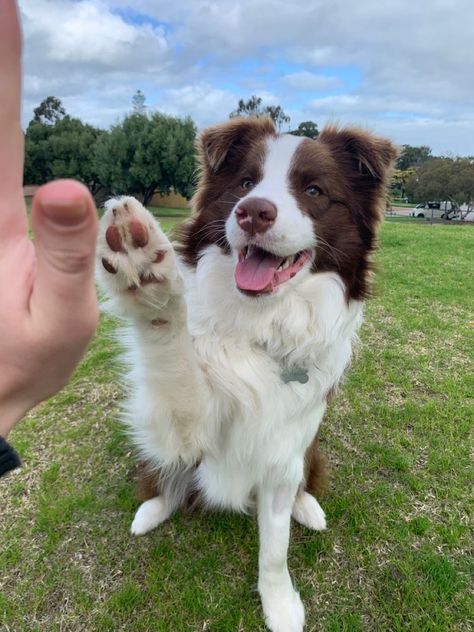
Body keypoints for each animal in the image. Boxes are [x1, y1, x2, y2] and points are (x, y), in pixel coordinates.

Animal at [96, 116, 396, 628]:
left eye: (314, 190)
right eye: (244, 183)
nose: (253, 212)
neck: (261, 326)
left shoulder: (283, 452)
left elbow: (275, 548)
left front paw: (280, 604)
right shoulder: (191, 423)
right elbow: (170, 356)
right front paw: (146, 272)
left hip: (310, 449)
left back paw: (307, 507)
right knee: (164, 476)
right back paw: (154, 509)